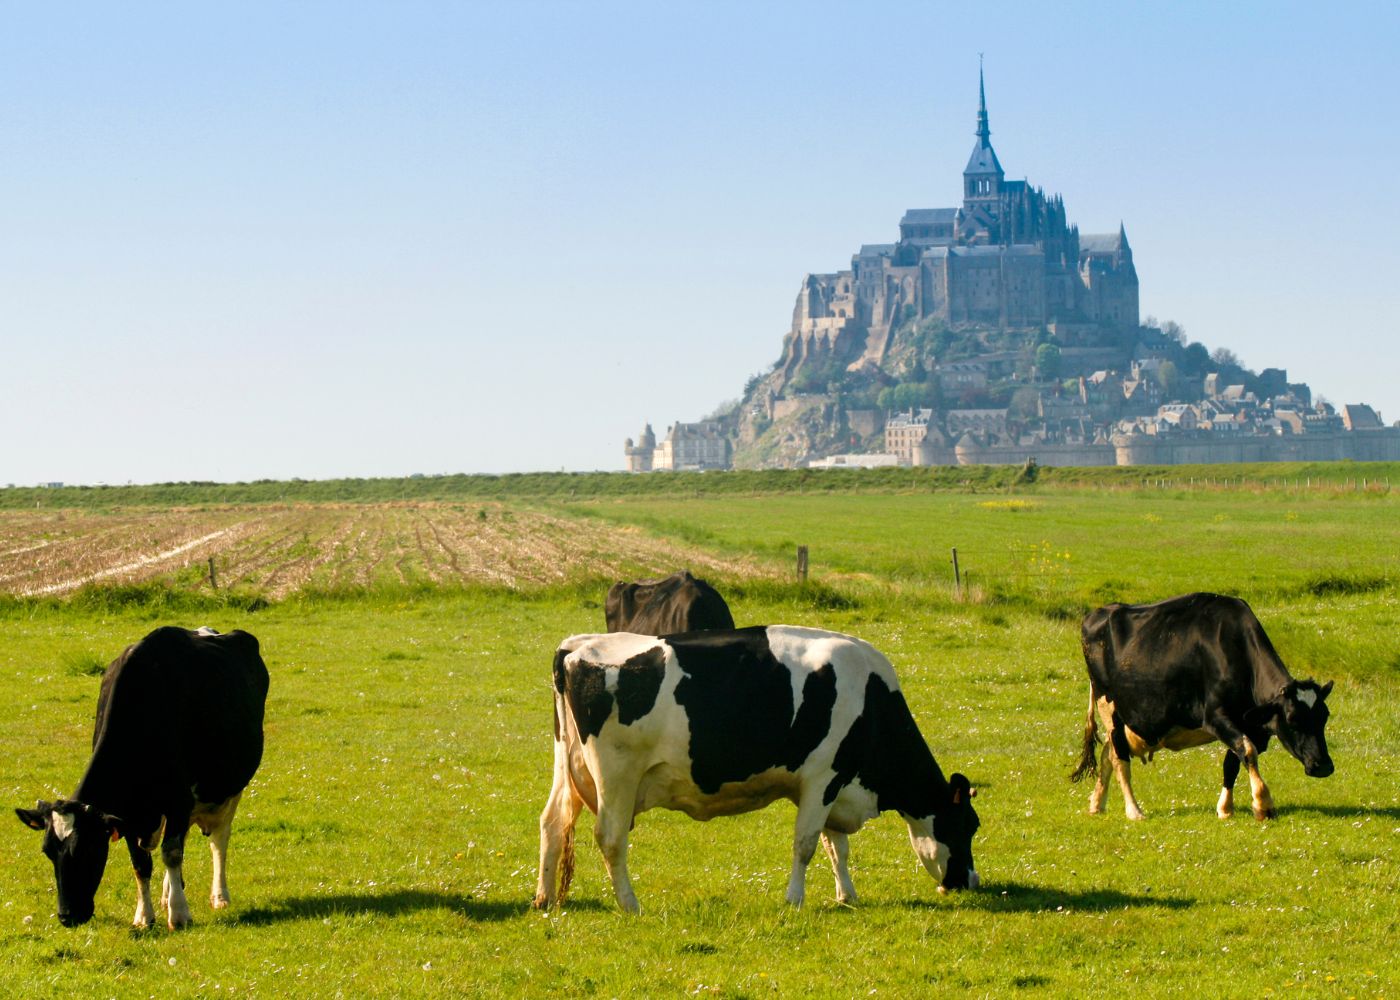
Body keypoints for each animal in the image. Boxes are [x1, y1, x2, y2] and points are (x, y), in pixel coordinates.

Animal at [16, 621, 266, 924]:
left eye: (87, 848)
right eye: (48, 851)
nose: (67, 916)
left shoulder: (178, 799)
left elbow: (171, 853)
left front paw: (179, 914)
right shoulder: (129, 813)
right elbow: (141, 863)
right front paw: (145, 916)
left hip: (228, 787)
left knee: (219, 840)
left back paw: (219, 896)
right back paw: (168, 893)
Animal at [529, 621, 980, 913]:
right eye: (968, 825)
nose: (970, 882)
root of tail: (576, 645)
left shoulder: (836, 780)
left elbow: (837, 846)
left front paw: (847, 896)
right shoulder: (822, 777)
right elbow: (807, 843)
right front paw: (795, 900)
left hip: (568, 766)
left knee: (552, 822)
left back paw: (544, 898)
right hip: (616, 774)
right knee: (610, 837)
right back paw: (630, 903)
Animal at [1069, 591, 1332, 817]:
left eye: (1324, 717)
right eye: (1292, 719)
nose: (1324, 766)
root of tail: (1096, 613)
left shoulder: (1245, 724)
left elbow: (1233, 761)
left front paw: (1225, 809)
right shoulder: (1215, 716)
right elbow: (1248, 751)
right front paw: (1263, 803)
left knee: (1107, 753)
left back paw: (1097, 804)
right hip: (1109, 706)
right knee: (1119, 758)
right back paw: (1134, 811)